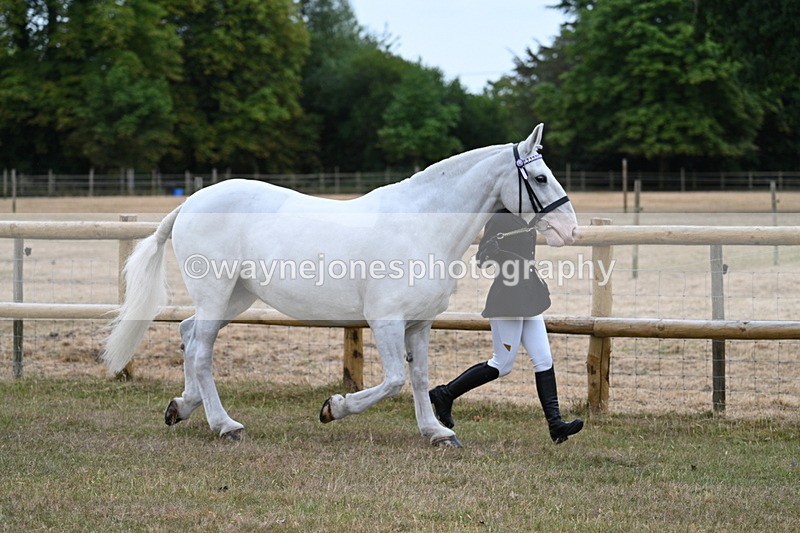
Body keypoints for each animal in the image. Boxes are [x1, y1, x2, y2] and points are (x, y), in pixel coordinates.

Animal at [102, 123, 578, 447]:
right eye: (539, 178)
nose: (570, 230)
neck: (421, 228)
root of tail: (188, 204)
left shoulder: (420, 324)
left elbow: (420, 376)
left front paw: (436, 431)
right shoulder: (385, 321)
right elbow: (393, 380)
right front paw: (335, 408)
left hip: (235, 297)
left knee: (188, 335)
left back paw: (182, 407)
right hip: (216, 293)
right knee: (201, 352)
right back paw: (225, 425)